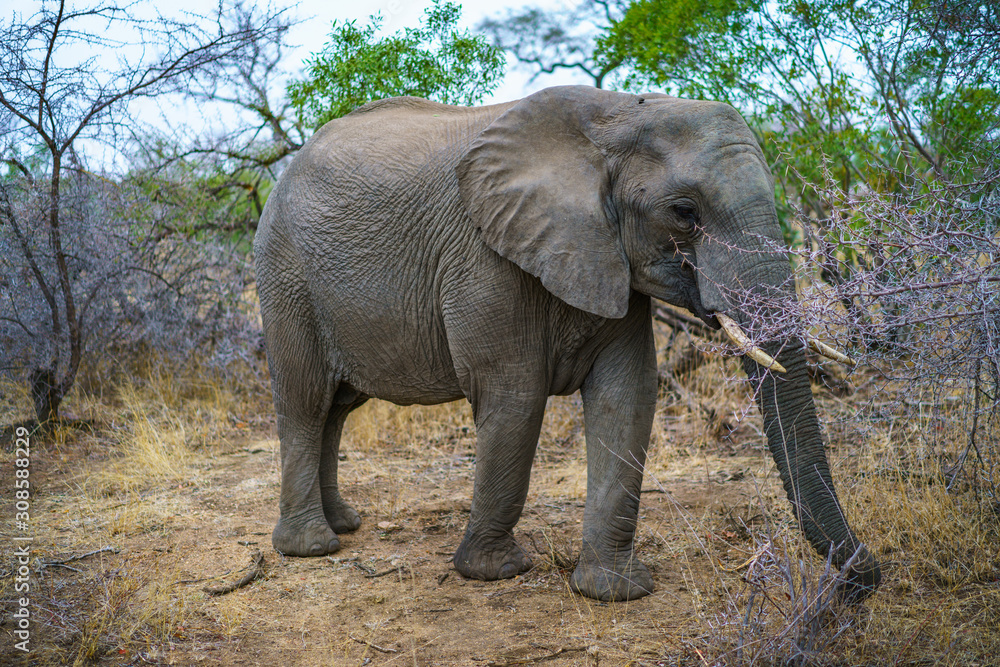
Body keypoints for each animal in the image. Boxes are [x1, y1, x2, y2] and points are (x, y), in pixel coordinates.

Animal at [253, 85, 881, 602]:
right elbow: (514, 397)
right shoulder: (485, 257)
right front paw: (495, 572)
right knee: (306, 401)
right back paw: (312, 547)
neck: (617, 116)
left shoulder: (612, 259)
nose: (863, 581)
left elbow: (628, 396)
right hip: (286, 274)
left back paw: (345, 524)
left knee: (338, 408)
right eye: (684, 212)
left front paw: (614, 591)